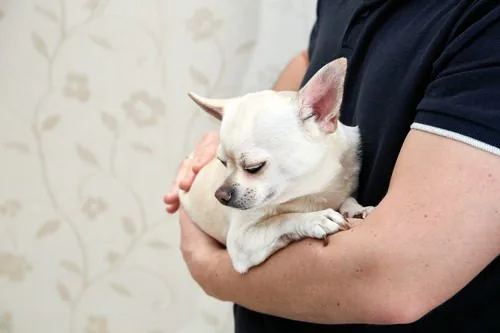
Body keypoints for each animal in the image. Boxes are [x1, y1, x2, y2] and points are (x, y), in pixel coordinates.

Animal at [179, 57, 372, 272]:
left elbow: (347, 199)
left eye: (254, 167)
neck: (312, 192)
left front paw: (355, 208)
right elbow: (282, 219)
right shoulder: (241, 241)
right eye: (222, 162)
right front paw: (316, 218)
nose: (220, 195)